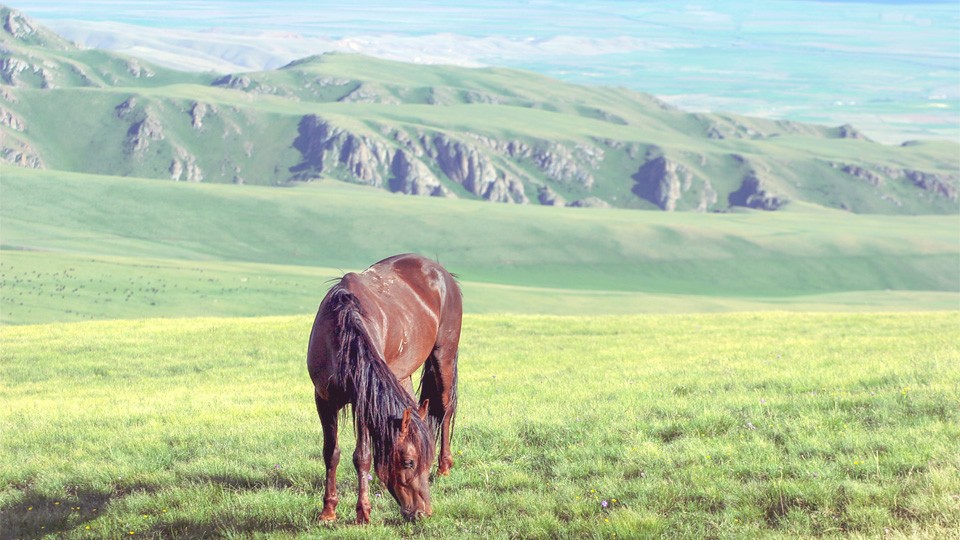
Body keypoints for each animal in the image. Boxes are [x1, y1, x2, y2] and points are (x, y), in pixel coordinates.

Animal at [304, 253, 462, 524]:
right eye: (409, 462)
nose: (423, 513)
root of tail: (441, 272)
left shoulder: (362, 401)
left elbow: (362, 457)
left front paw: (363, 513)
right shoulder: (324, 399)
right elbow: (331, 453)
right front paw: (328, 511)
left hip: (444, 357)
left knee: (445, 409)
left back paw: (445, 467)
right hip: (402, 375)